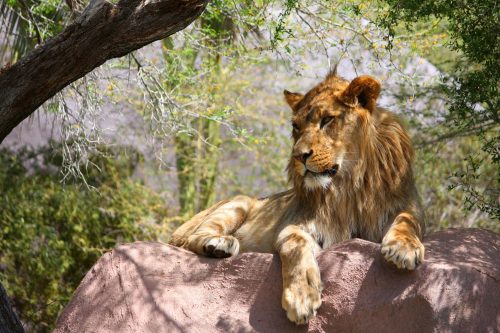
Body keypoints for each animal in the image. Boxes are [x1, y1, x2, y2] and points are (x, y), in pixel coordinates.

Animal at [169, 70, 426, 324]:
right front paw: (302, 296)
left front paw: (403, 247)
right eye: (296, 126)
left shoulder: (405, 206)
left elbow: (407, 219)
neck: (349, 184)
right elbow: (295, 243)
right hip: (238, 202)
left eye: (327, 120)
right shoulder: (298, 224)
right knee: (191, 238)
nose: (298, 156)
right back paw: (219, 244)